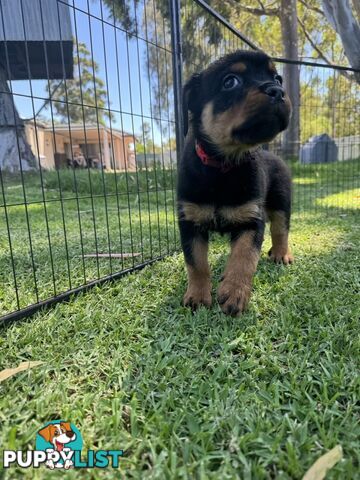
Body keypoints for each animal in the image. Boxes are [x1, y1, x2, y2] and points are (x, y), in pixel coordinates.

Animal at [176, 50, 292, 316]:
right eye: (230, 82)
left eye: (277, 78)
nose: (278, 90)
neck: (223, 165)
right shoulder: (189, 221)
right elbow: (196, 263)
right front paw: (198, 296)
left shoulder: (251, 219)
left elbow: (244, 258)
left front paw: (235, 293)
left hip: (281, 201)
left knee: (281, 229)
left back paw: (282, 254)